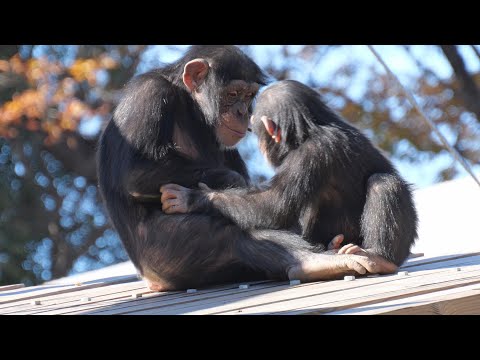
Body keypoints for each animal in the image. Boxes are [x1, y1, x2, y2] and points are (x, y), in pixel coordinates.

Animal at [97, 46, 376, 292]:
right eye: (233, 94)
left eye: (248, 95)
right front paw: (229, 181)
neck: (190, 105)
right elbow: (134, 172)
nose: (243, 112)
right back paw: (314, 262)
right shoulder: (147, 94)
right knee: (233, 232)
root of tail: (153, 282)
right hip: (164, 258)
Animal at [161, 80, 416, 280]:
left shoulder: (309, 153)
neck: (309, 130)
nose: (262, 147)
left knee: (384, 183)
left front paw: (194, 197)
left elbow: (273, 203)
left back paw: (379, 257)